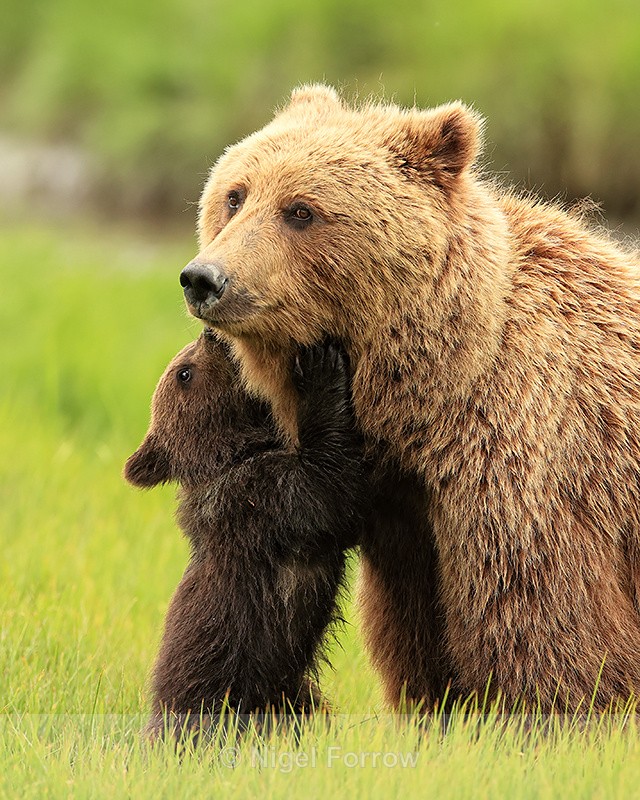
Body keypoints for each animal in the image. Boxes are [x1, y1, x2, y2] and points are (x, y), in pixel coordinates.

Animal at [124, 329, 367, 734]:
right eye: (184, 372)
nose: (208, 334)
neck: (234, 454)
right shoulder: (263, 502)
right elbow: (329, 491)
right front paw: (319, 369)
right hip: (223, 688)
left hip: (289, 691)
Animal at [177, 84, 640, 714]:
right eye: (235, 195)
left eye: (300, 210)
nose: (205, 278)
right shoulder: (404, 509)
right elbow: (414, 631)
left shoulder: (530, 462)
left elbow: (538, 618)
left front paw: (555, 709)